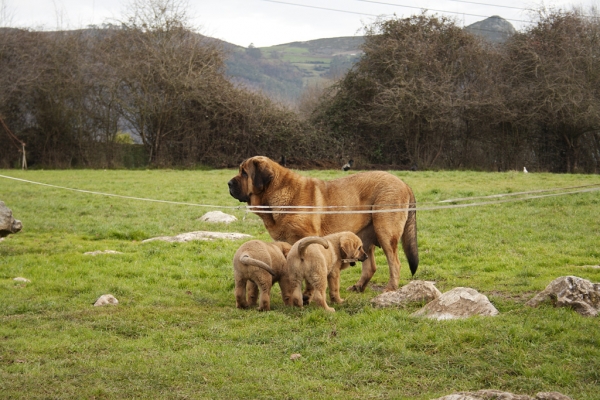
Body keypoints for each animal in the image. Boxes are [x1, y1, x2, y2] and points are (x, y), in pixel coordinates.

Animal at [227, 157, 420, 294]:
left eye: (244, 173)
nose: (229, 183)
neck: (277, 193)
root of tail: (405, 184)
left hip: (385, 232)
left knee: (395, 263)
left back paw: (390, 288)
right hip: (363, 237)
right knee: (370, 266)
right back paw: (358, 287)